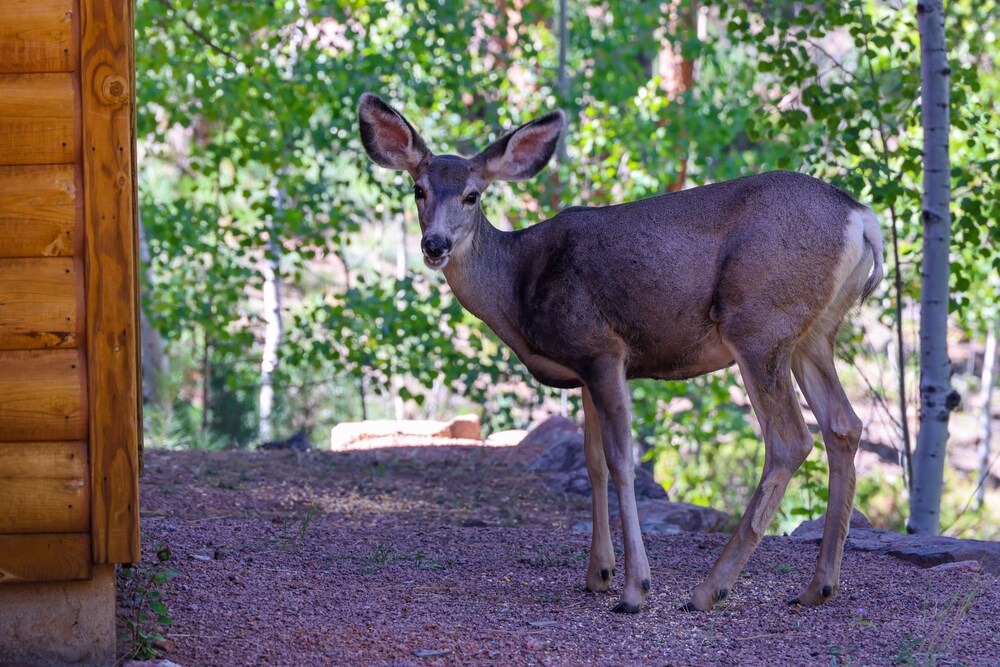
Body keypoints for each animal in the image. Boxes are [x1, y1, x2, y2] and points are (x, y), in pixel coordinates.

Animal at [358, 94, 884, 616]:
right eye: (418, 189)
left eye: (472, 195)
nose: (435, 244)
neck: (518, 286)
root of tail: (861, 218)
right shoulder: (583, 366)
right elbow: (592, 463)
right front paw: (599, 574)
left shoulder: (602, 347)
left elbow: (620, 461)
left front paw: (635, 589)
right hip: (814, 333)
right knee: (844, 425)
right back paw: (818, 586)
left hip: (759, 323)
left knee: (790, 440)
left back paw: (710, 588)